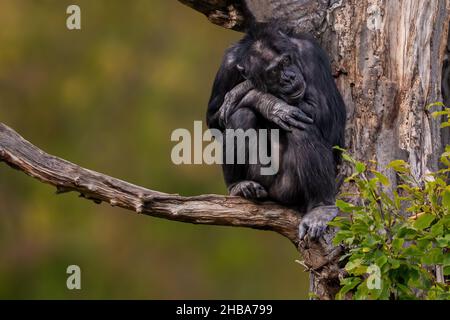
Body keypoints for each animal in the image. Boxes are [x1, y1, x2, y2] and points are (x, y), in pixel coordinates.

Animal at [206, 20, 346, 240]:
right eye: (273, 71)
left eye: (285, 62)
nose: (288, 77)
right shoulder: (227, 65)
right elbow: (214, 118)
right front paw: (268, 103)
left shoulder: (312, 53)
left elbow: (328, 114)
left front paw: (244, 90)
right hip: (262, 178)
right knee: (241, 115)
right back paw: (240, 185)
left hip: (290, 188)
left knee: (302, 128)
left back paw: (321, 208)